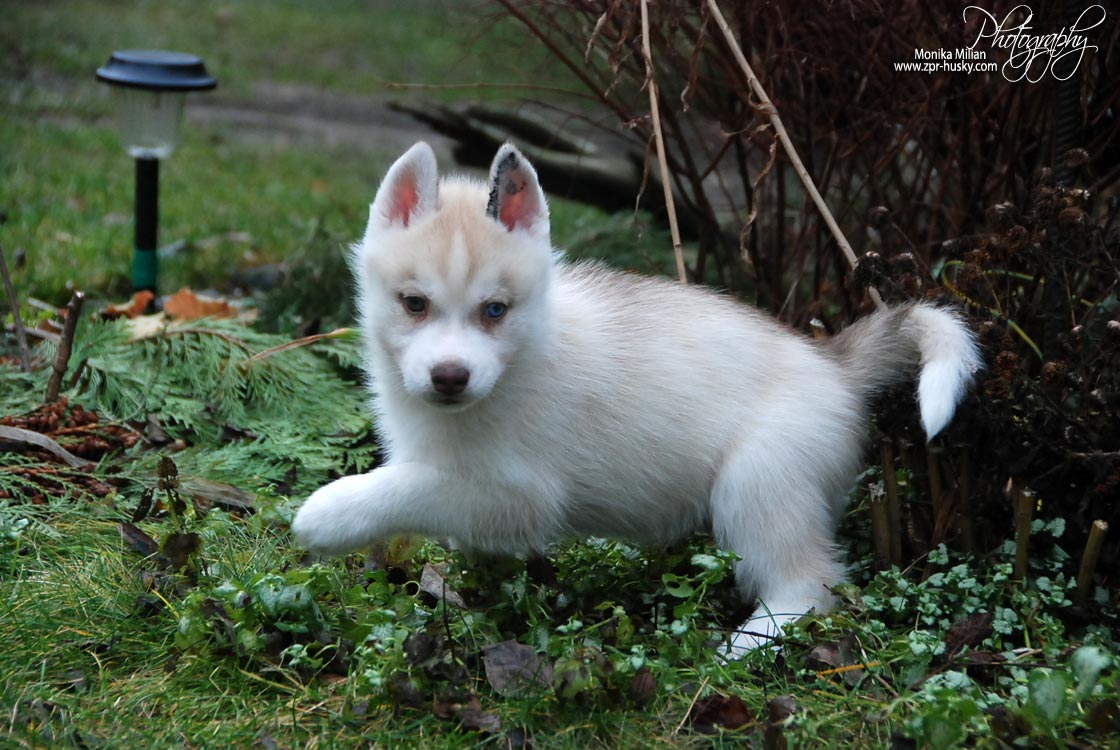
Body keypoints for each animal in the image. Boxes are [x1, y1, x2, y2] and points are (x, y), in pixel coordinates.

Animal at [291, 141, 981, 655]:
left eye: (495, 311)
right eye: (414, 303)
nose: (450, 378)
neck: (523, 358)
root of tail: (833, 362)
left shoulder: (517, 495)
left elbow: (409, 487)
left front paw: (327, 514)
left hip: (759, 482)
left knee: (811, 585)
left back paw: (745, 645)